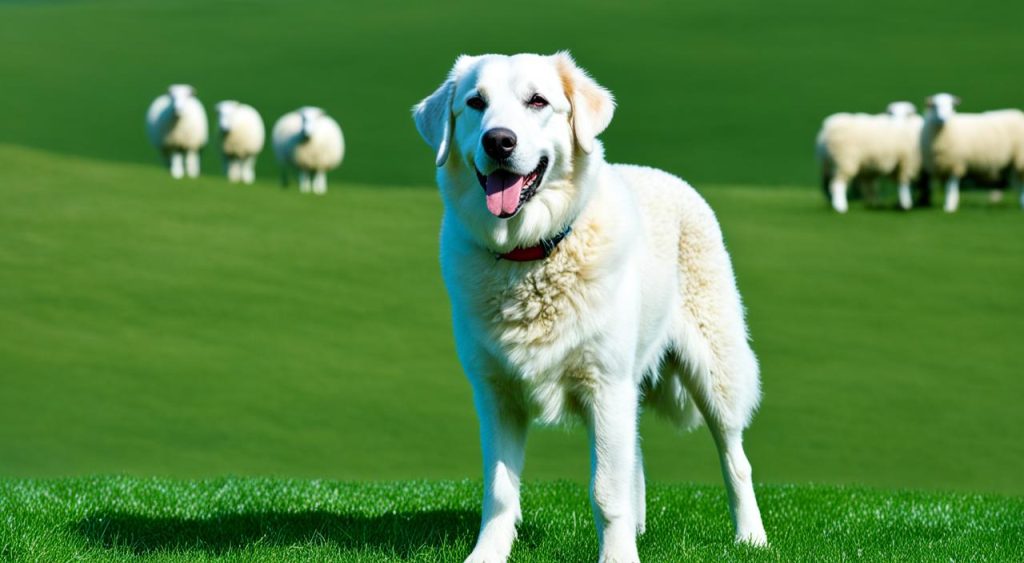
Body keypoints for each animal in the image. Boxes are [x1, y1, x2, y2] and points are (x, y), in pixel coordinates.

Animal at [411, 52, 765, 563]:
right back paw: (640, 531)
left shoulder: (606, 385)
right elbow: (500, 490)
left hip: (715, 371)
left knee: (735, 458)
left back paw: (751, 537)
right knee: (637, 458)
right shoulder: (496, 394)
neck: (530, 253)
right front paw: (487, 555)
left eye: (537, 101)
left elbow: (606, 490)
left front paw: (617, 557)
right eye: (476, 103)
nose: (498, 140)